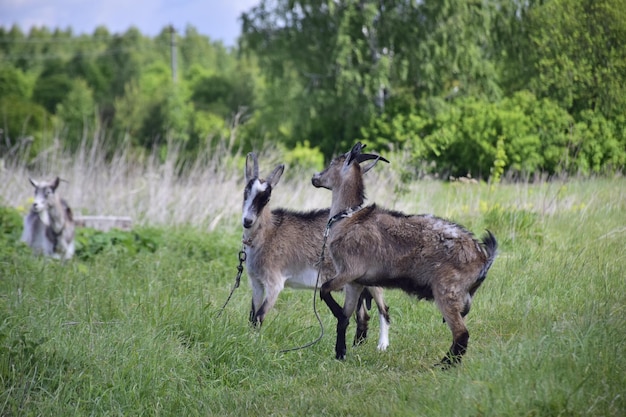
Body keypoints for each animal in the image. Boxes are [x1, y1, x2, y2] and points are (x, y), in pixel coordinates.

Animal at [240, 152, 390, 348]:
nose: (247, 221)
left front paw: (252, 343)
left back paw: (382, 345)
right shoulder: (256, 282)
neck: (268, 233)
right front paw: (247, 338)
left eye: (266, 198)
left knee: (383, 307)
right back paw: (357, 344)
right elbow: (252, 315)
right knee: (363, 314)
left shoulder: (275, 282)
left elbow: (260, 315)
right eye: (245, 192)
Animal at [312, 143, 498, 364]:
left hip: (447, 291)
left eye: (333, 162)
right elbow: (346, 317)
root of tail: (484, 257)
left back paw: (442, 366)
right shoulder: (354, 282)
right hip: (462, 297)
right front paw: (340, 353)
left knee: (461, 333)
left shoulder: (349, 271)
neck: (348, 219)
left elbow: (324, 289)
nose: (314, 177)